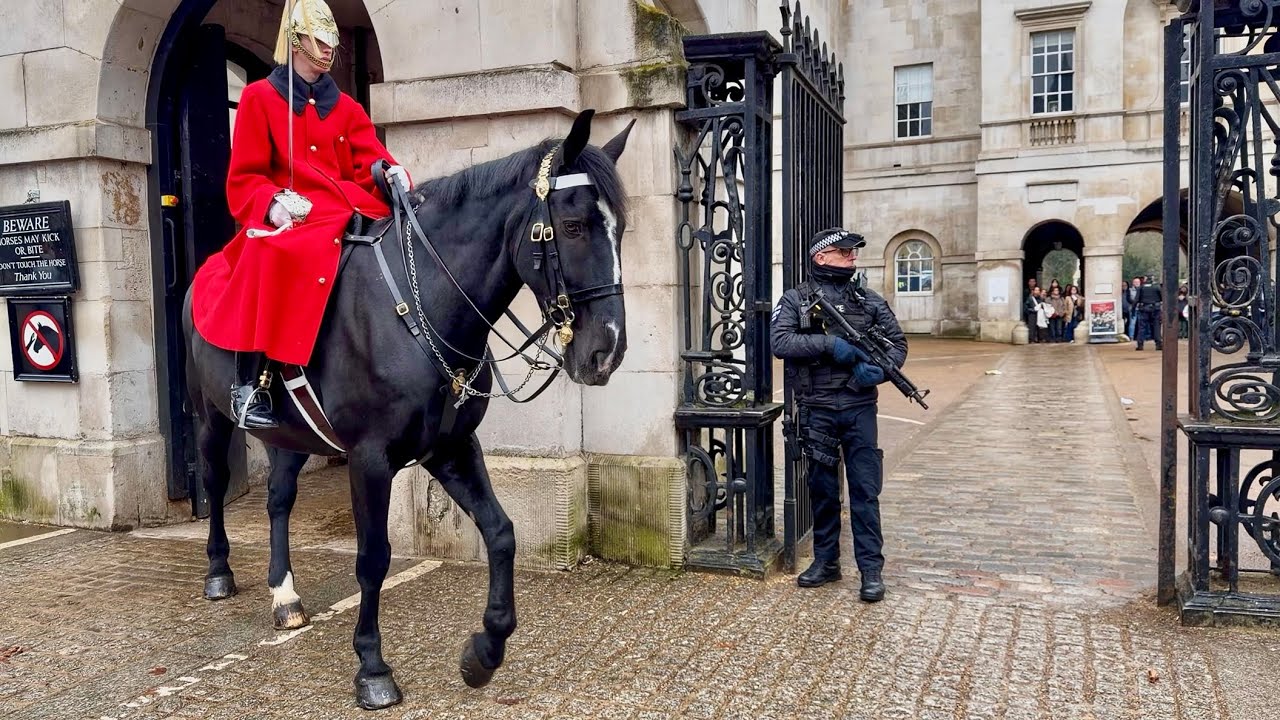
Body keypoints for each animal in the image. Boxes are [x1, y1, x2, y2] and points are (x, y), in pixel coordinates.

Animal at [182, 109, 633, 710]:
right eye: (576, 225)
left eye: (619, 229)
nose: (607, 350)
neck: (424, 307)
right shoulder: (370, 459)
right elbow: (373, 558)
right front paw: (372, 668)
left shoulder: (451, 447)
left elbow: (502, 532)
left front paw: (484, 652)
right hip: (211, 418)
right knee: (213, 480)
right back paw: (218, 571)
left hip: (292, 434)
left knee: (278, 499)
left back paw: (285, 595)